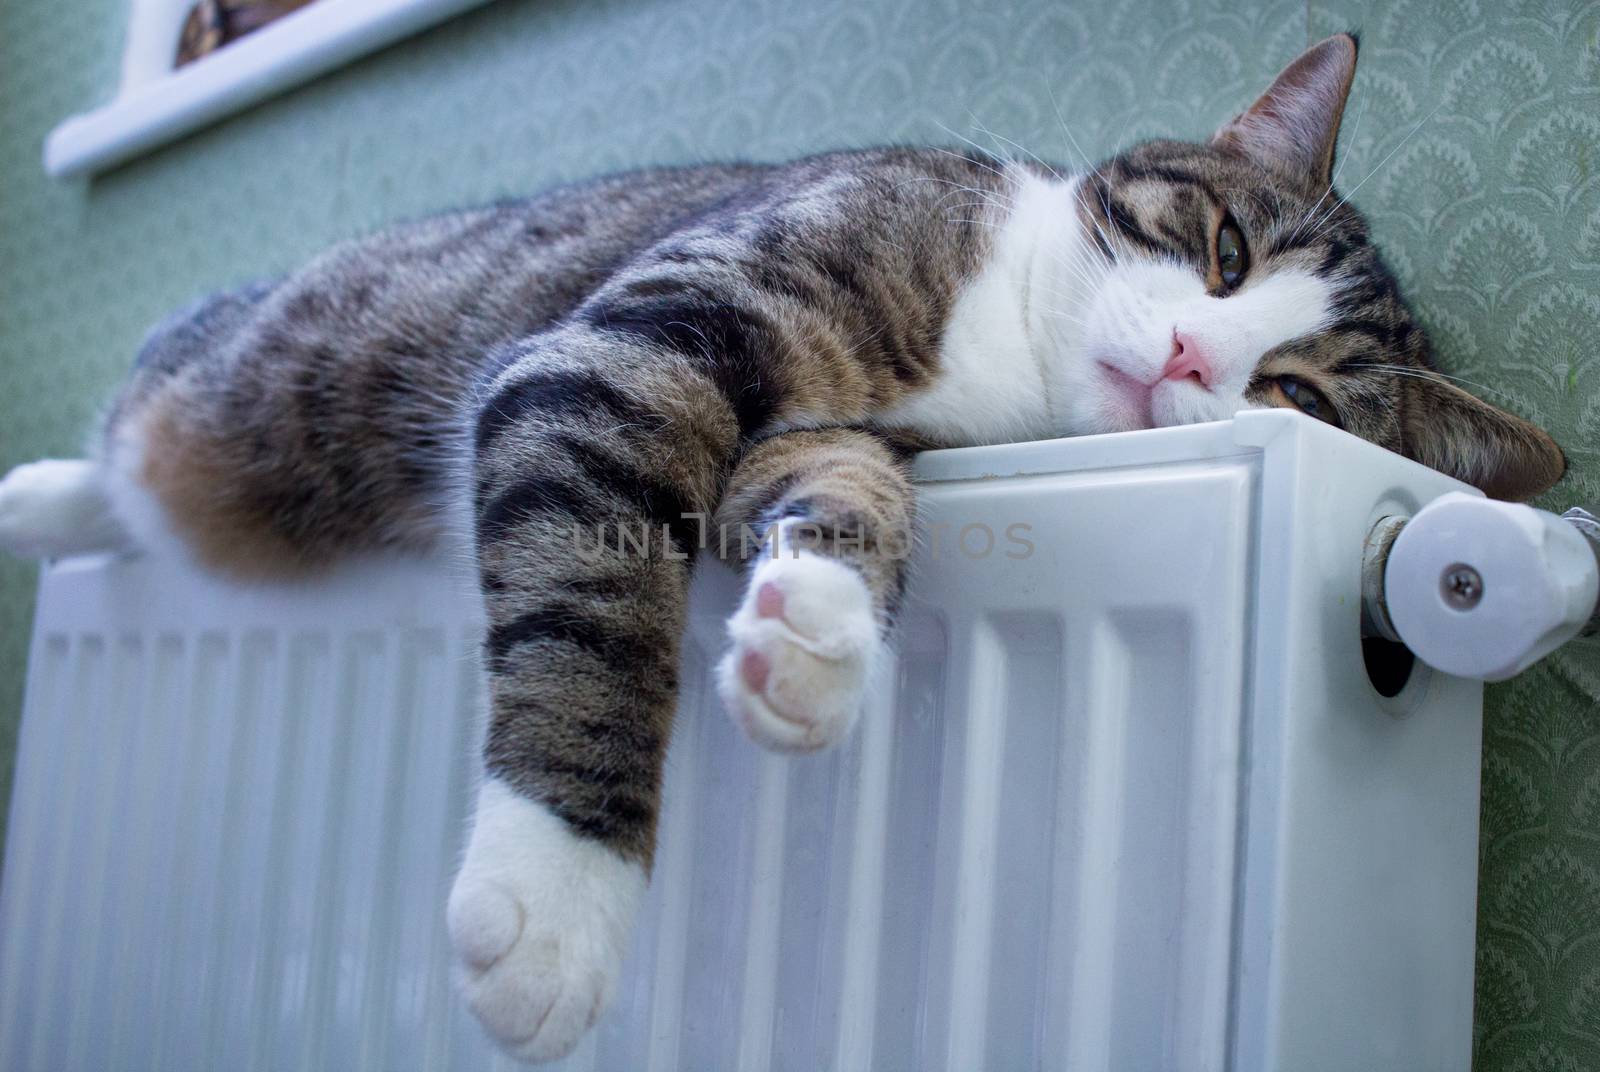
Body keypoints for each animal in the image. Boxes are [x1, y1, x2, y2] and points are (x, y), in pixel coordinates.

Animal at [0, 35, 1568, 1068]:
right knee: (155, 404)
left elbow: (841, 487)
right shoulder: (628, 350)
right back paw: (45, 495)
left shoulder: (843, 437)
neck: (1008, 344)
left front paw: (811, 634)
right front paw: (556, 903)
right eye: (1227, 250)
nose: (1192, 356)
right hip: (251, 377)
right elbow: (597, 595)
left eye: (1295, 397)